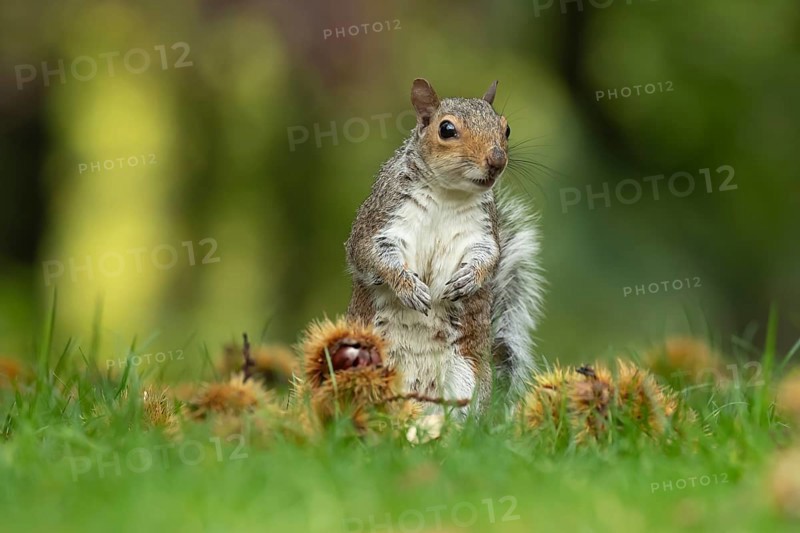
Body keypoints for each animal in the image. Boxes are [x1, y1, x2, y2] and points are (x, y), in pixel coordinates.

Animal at [345, 78, 544, 415]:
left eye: (506, 129)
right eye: (446, 129)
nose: (497, 160)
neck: (448, 193)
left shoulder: (482, 233)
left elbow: (490, 258)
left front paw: (469, 279)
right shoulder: (379, 221)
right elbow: (371, 257)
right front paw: (408, 287)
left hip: (466, 378)